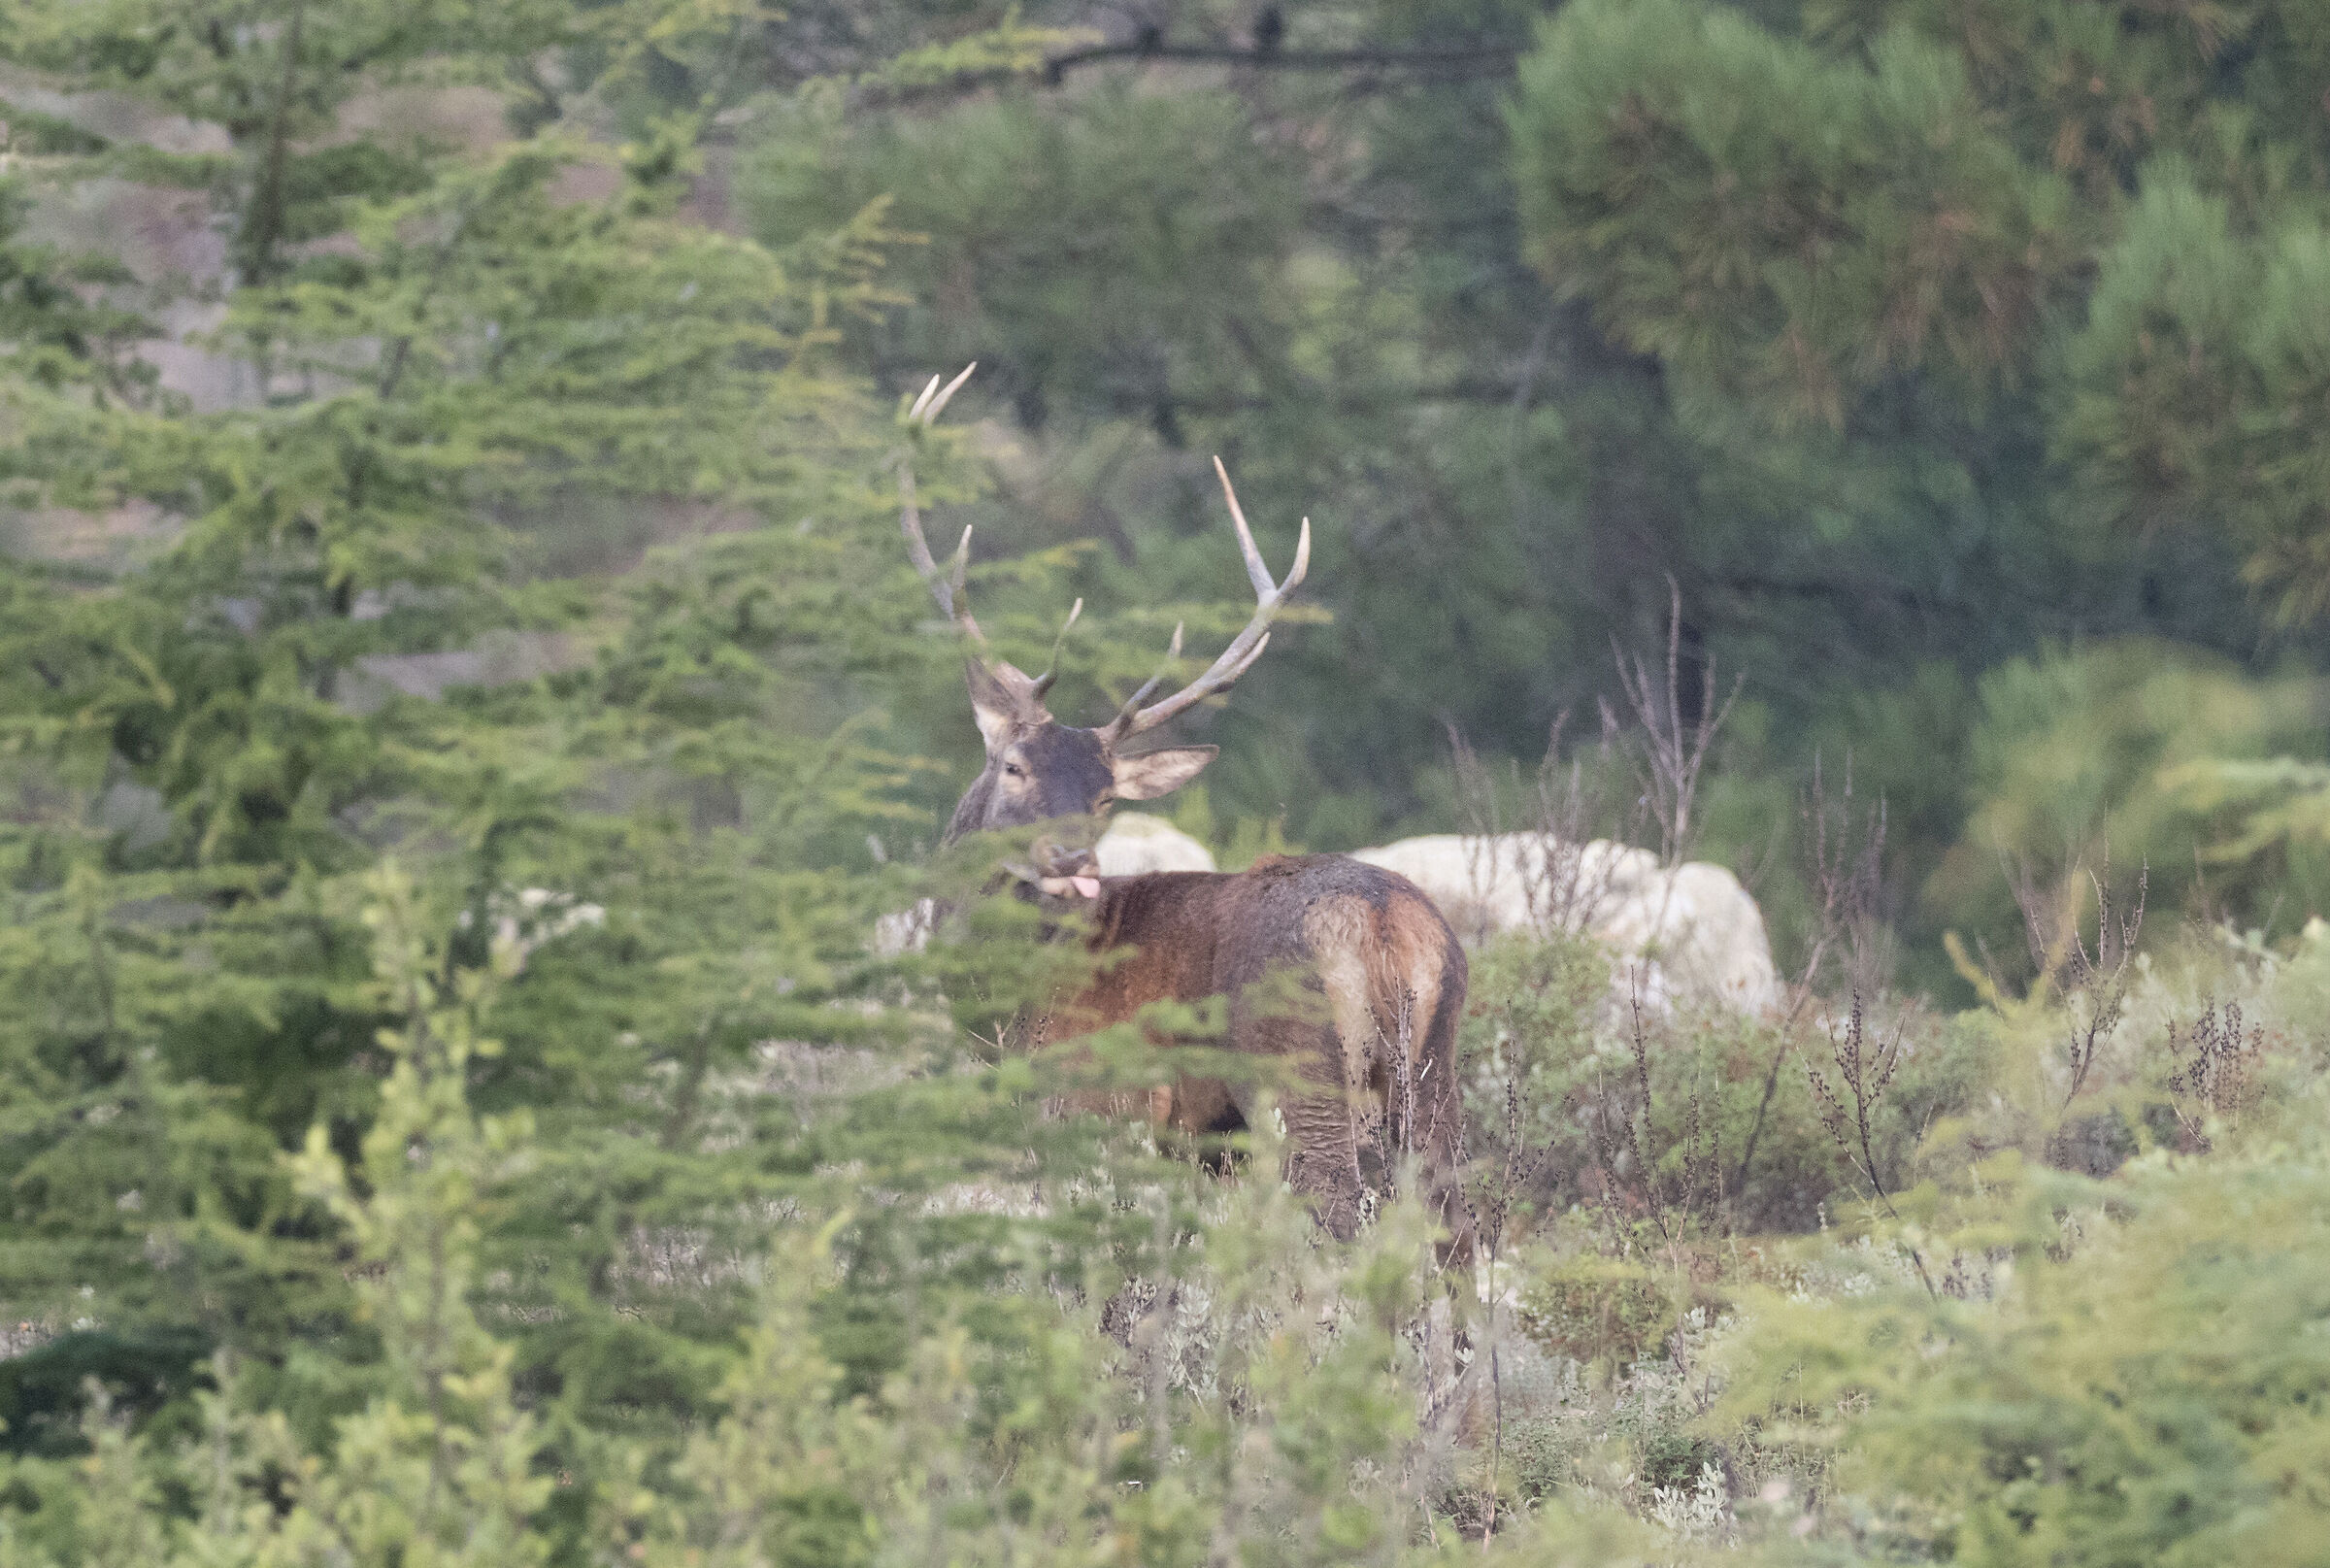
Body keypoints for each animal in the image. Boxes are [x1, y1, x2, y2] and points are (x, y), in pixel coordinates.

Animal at [896, 366, 1472, 1263]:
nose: (1072, 860)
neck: (1001, 1011)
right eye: (1015, 766)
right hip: (1433, 1063)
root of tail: (1384, 921)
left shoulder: (1086, 1104)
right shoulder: (1196, 1140)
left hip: (1295, 1065)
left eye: (1105, 796)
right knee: (1457, 1228)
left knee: (1337, 1211)